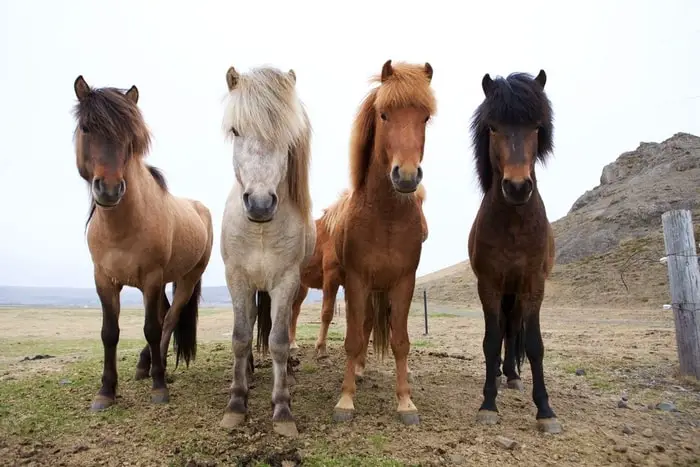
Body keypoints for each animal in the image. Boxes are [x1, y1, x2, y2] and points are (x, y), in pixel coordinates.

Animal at [71, 75, 215, 412]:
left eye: (130, 137)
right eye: (86, 128)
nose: (109, 189)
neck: (122, 226)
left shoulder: (151, 277)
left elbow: (152, 327)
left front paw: (159, 386)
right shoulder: (104, 279)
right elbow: (109, 333)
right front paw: (106, 391)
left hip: (186, 279)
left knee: (169, 319)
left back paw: (156, 366)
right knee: (165, 314)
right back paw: (144, 365)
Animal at [220, 64, 316, 436]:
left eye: (288, 136)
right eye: (235, 130)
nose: (260, 204)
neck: (260, 229)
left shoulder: (286, 282)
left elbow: (277, 341)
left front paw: (282, 408)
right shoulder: (237, 279)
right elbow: (240, 336)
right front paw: (236, 402)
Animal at [330, 60, 438, 426]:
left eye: (425, 117)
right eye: (384, 114)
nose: (405, 176)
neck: (386, 217)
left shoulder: (404, 282)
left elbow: (400, 341)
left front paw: (405, 402)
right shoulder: (357, 281)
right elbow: (352, 339)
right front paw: (345, 400)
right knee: (362, 328)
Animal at [468, 69, 560, 436]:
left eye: (536, 126)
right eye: (493, 127)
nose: (518, 187)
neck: (514, 226)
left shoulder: (534, 285)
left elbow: (533, 344)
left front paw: (545, 410)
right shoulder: (489, 285)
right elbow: (491, 340)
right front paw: (487, 404)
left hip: (517, 293)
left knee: (512, 327)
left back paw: (511, 375)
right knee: (502, 329)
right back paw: (498, 373)